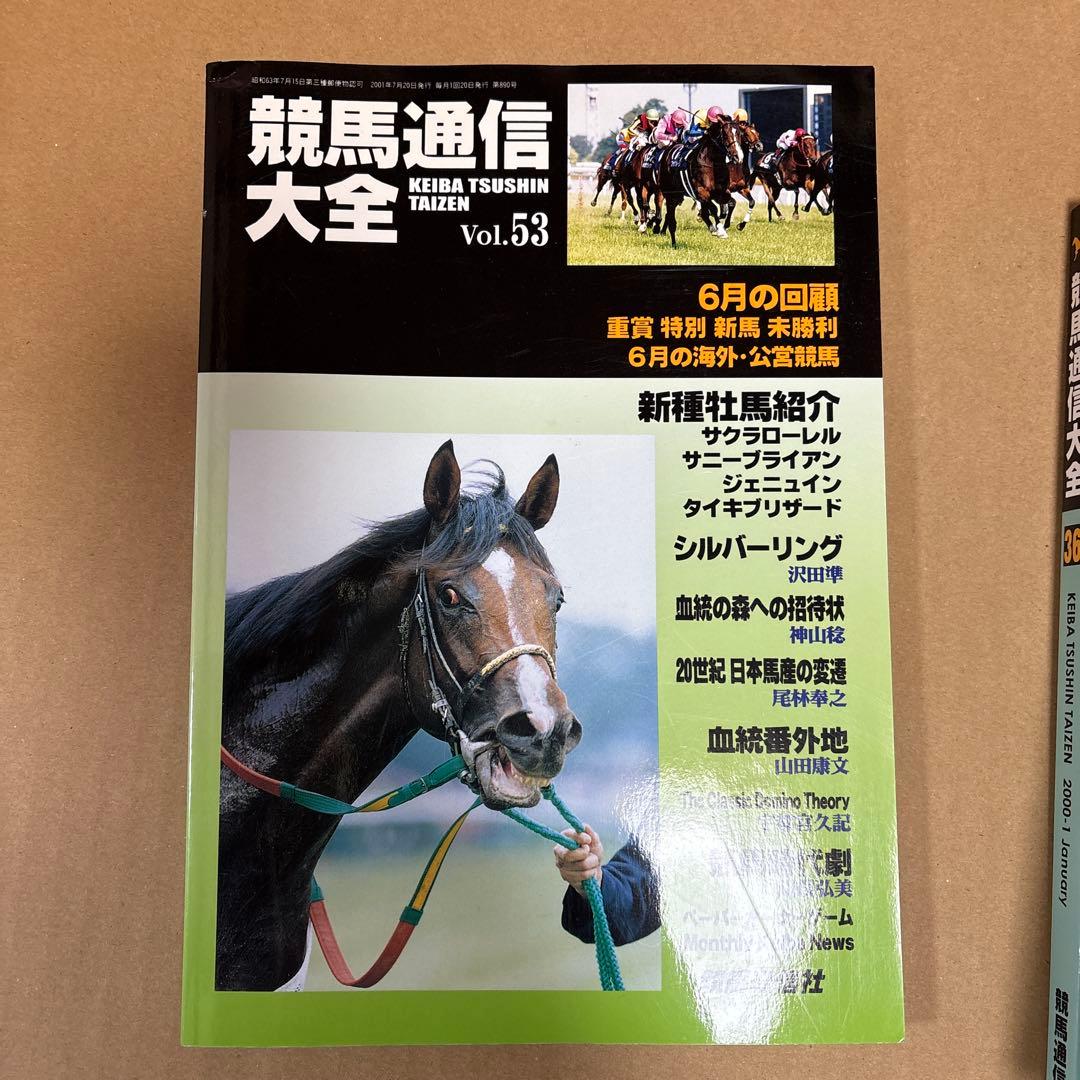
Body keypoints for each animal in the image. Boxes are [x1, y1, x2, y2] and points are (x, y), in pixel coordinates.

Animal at [651, 117, 742, 247]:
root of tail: (667, 152)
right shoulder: (701, 192)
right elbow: (713, 208)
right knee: (671, 219)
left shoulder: (721, 192)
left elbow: (731, 203)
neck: (712, 163)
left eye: (739, 133)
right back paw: (673, 243)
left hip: (678, 197)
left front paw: (725, 225)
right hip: (670, 195)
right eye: (725, 134)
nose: (737, 156)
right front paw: (720, 230)